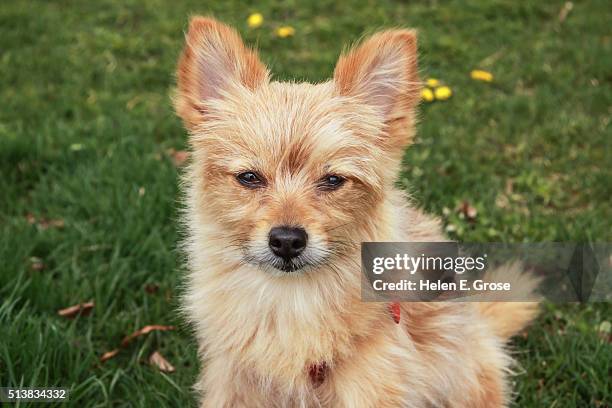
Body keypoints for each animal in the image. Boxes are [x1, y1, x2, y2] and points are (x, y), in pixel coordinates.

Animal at [173, 17, 540, 406]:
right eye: (249, 177)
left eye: (333, 180)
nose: (287, 241)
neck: (290, 300)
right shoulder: (233, 382)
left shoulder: (373, 382)